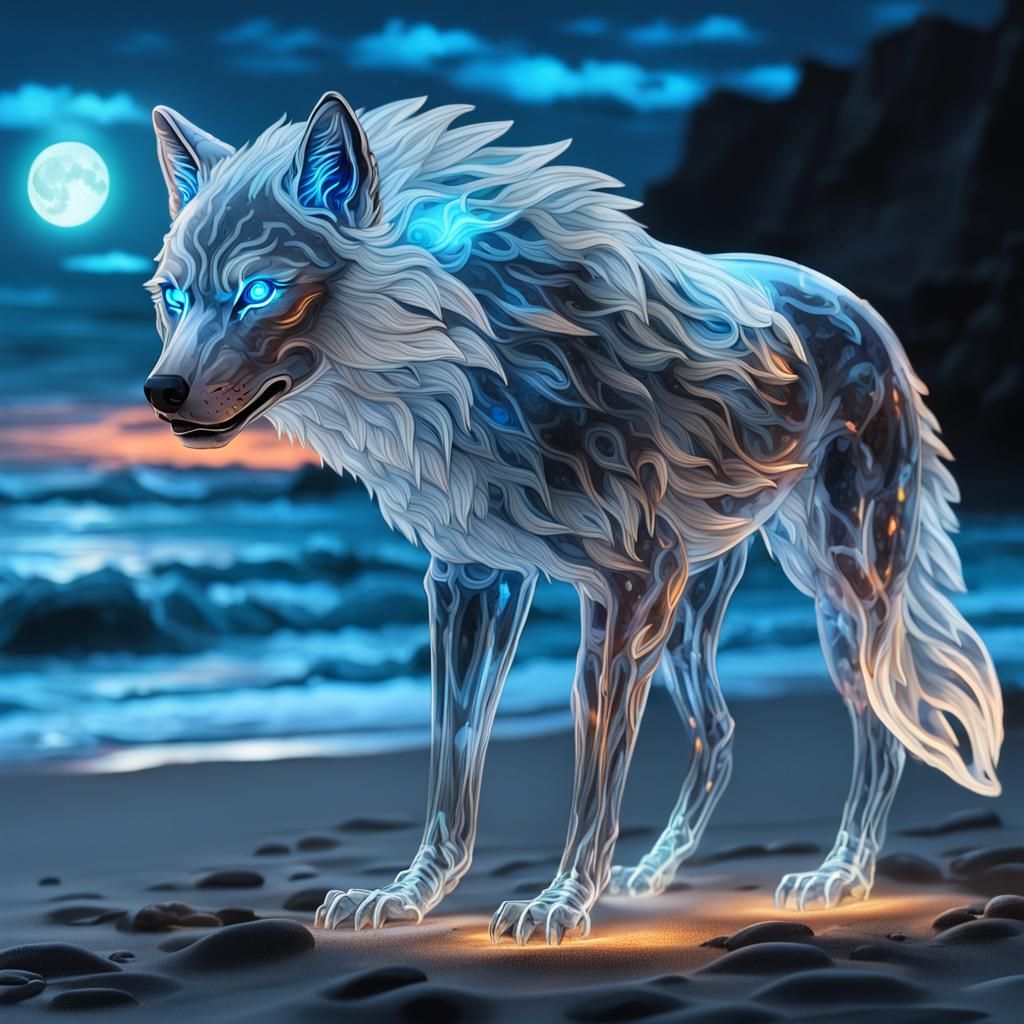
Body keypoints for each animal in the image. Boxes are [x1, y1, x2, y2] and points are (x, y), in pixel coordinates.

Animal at [144, 92, 1003, 945]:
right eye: (175, 299)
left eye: (258, 292)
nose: (161, 392)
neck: (469, 352)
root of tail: (871, 316)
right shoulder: (473, 579)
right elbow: (454, 754)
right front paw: (410, 895)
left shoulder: (630, 584)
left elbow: (594, 767)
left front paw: (560, 903)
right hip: (695, 610)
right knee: (721, 733)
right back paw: (654, 875)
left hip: (842, 596)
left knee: (882, 730)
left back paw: (842, 876)